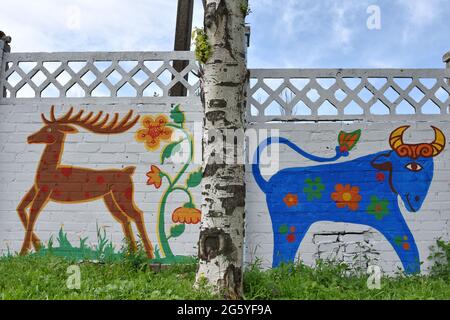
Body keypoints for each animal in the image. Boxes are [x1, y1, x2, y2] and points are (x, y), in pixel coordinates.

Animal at [16, 106, 154, 258]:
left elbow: (33, 214)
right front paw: (37, 246)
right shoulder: (35, 188)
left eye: (49, 129)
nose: (29, 138)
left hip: (123, 194)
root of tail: (128, 172)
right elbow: (21, 208)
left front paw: (23, 252)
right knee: (124, 218)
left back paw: (148, 254)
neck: (49, 170)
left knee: (137, 214)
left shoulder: (45, 190)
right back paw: (132, 253)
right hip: (109, 198)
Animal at [253, 126, 446, 274]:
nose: (417, 199)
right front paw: (413, 275)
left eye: (431, 168)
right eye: (413, 165)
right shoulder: (387, 215)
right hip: (289, 225)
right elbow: (406, 241)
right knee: (282, 253)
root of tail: (268, 184)